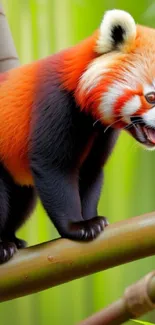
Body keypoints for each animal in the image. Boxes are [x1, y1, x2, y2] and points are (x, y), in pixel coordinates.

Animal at [0, 9, 154, 264]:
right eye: (150, 97)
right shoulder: (55, 104)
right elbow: (53, 168)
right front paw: (76, 226)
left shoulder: (101, 132)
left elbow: (91, 171)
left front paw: (92, 219)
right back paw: (2, 245)